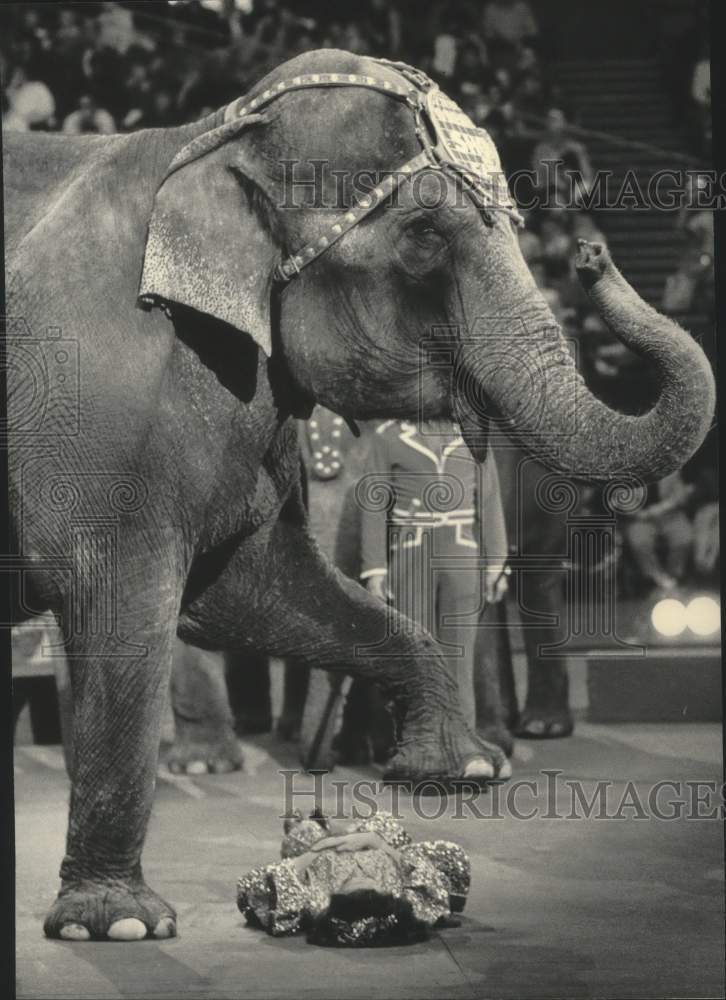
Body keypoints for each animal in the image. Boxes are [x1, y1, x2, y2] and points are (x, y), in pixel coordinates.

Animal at [7, 48, 716, 944]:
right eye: (423, 238)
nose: (591, 254)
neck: (215, 128)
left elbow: (246, 587)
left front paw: (452, 770)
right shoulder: (101, 403)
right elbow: (125, 603)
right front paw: (118, 925)